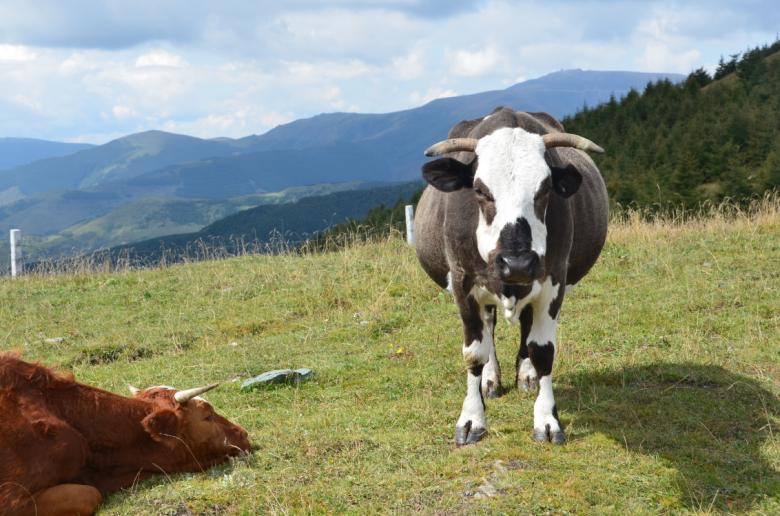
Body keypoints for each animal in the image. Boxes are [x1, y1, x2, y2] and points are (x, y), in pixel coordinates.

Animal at [414, 107, 608, 446]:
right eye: (480, 190)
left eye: (544, 189)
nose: (516, 263)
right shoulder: (463, 283)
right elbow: (474, 353)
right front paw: (471, 418)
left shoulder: (553, 280)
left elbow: (543, 350)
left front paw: (546, 420)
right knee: (489, 327)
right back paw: (490, 380)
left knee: (526, 326)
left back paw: (526, 374)